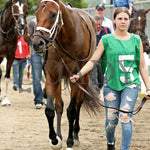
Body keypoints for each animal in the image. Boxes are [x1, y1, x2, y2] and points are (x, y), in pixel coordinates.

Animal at [32, 0, 99, 149]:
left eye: (53, 14)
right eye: (36, 13)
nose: (37, 43)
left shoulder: (77, 78)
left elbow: (72, 111)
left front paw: (70, 141)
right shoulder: (52, 76)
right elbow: (51, 109)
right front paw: (54, 138)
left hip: (85, 78)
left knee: (79, 104)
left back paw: (75, 136)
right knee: (59, 106)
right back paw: (60, 135)